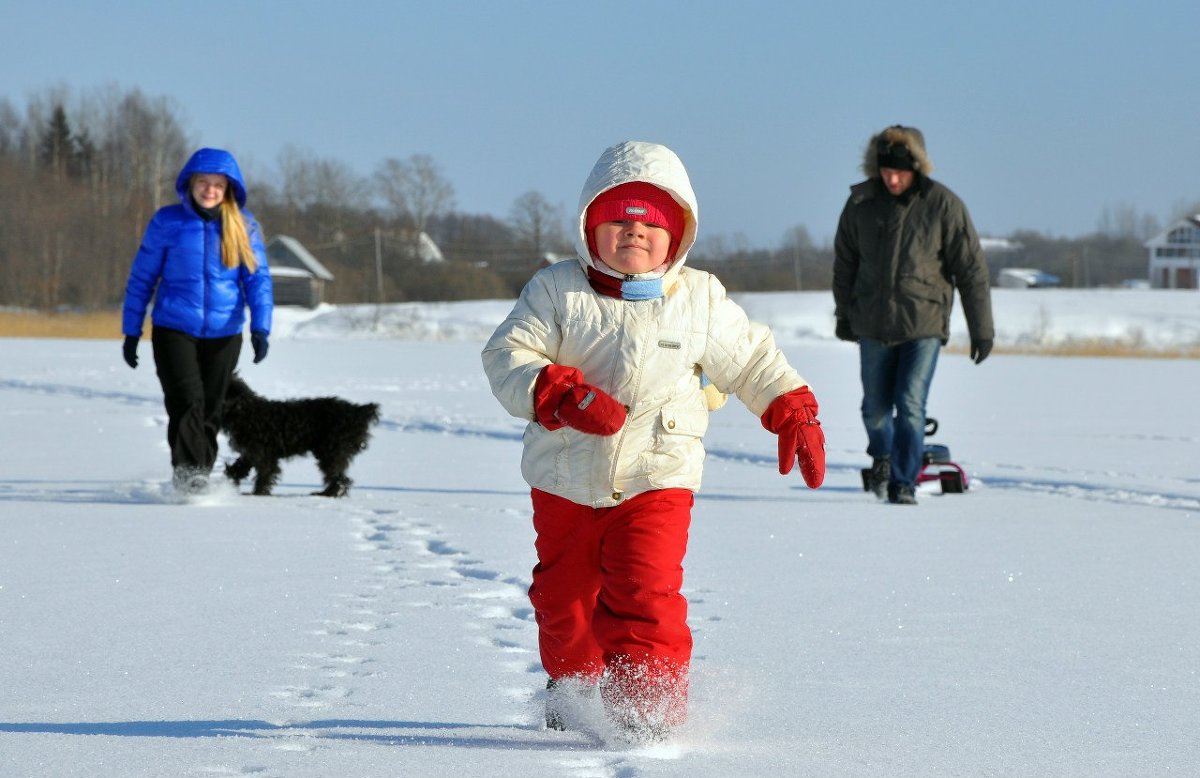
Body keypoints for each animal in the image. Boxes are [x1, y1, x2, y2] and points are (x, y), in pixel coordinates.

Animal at [220, 374, 379, 494]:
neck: (246, 414)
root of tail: (358, 412)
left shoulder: (263, 454)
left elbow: (265, 473)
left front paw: (258, 494)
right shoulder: (252, 452)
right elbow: (242, 464)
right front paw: (232, 474)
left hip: (331, 450)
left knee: (339, 478)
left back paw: (328, 494)